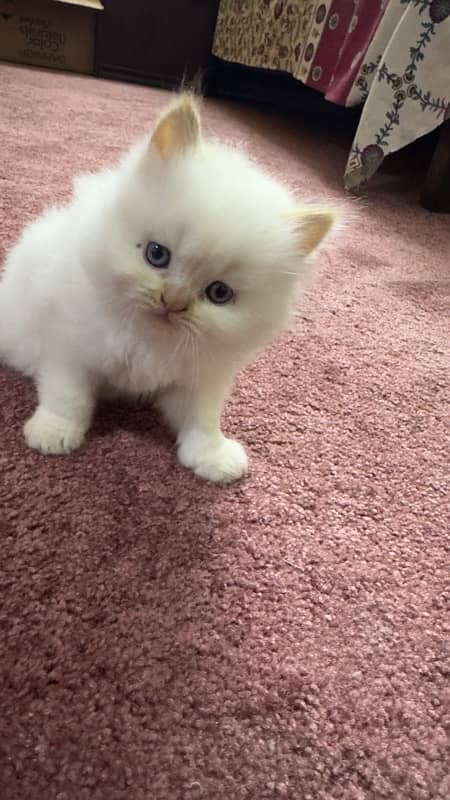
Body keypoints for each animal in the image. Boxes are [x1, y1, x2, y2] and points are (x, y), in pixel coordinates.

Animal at [0, 94, 338, 482]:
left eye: (219, 293)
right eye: (156, 255)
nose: (172, 301)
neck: (149, 340)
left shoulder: (200, 379)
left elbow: (202, 421)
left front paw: (213, 457)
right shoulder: (69, 346)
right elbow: (68, 397)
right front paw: (54, 433)